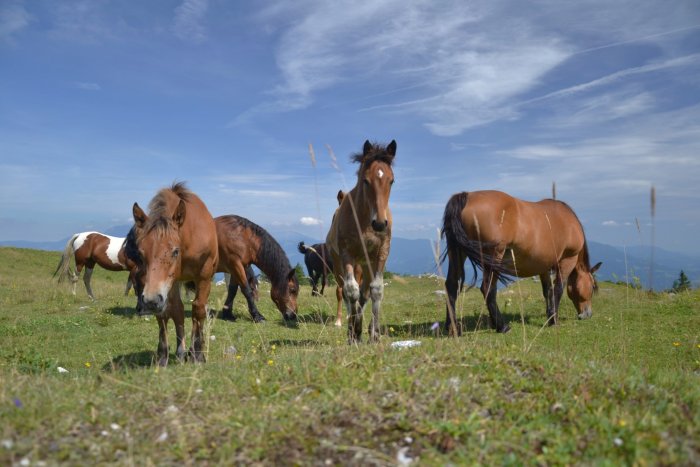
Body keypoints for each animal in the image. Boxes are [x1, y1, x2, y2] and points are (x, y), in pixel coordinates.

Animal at [132, 182, 217, 366]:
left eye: (175, 251)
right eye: (141, 253)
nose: (150, 301)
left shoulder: (204, 277)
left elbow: (198, 309)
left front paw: (198, 354)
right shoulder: (166, 285)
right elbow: (170, 312)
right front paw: (165, 355)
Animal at [326, 140, 396, 344]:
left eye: (391, 180)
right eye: (366, 180)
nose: (380, 223)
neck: (364, 220)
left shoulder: (382, 253)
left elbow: (376, 290)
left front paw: (374, 334)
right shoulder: (347, 254)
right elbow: (351, 291)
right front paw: (353, 332)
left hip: (366, 263)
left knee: (364, 292)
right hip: (340, 264)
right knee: (345, 292)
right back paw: (352, 328)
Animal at [442, 190, 600, 336]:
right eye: (592, 287)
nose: (588, 314)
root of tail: (467, 195)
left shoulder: (543, 266)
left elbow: (547, 291)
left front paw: (549, 313)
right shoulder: (567, 260)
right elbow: (558, 289)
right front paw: (553, 319)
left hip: (457, 252)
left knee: (451, 285)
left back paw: (452, 328)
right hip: (494, 255)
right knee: (487, 288)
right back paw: (502, 326)